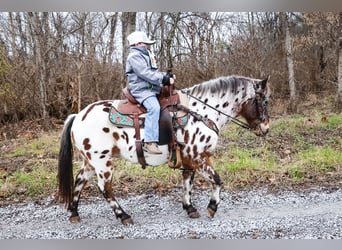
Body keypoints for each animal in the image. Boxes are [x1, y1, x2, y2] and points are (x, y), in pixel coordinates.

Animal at [57, 74, 270, 225]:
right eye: (265, 101)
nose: (266, 129)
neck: (201, 112)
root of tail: (78, 116)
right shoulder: (199, 158)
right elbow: (217, 181)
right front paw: (212, 207)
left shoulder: (190, 160)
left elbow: (188, 184)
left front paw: (190, 208)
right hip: (102, 163)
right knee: (105, 188)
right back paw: (124, 216)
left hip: (90, 162)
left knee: (79, 180)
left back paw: (74, 213)